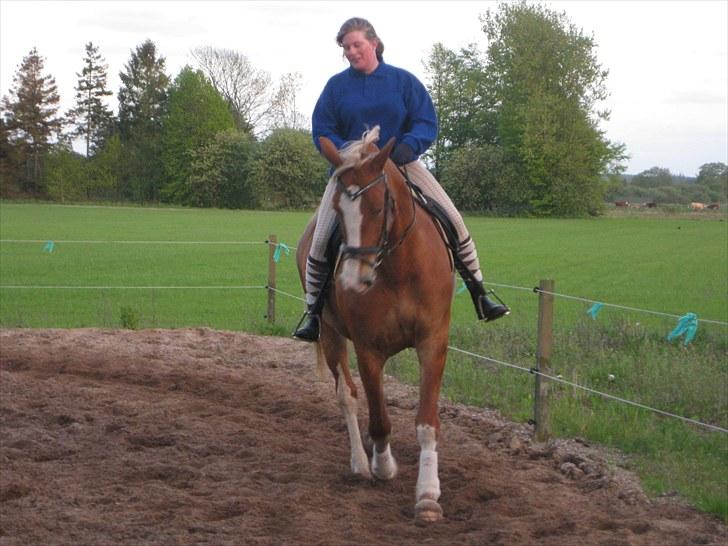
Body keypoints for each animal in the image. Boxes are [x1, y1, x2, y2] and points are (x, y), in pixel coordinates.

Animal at [296, 127, 456, 524]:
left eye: (379, 207)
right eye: (338, 211)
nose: (353, 280)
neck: (398, 267)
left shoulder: (433, 342)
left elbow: (427, 421)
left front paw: (427, 495)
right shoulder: (369, 350)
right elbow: (379, 420)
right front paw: (383, 467)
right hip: (331, 336)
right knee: (347, 397)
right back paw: (360, 462)